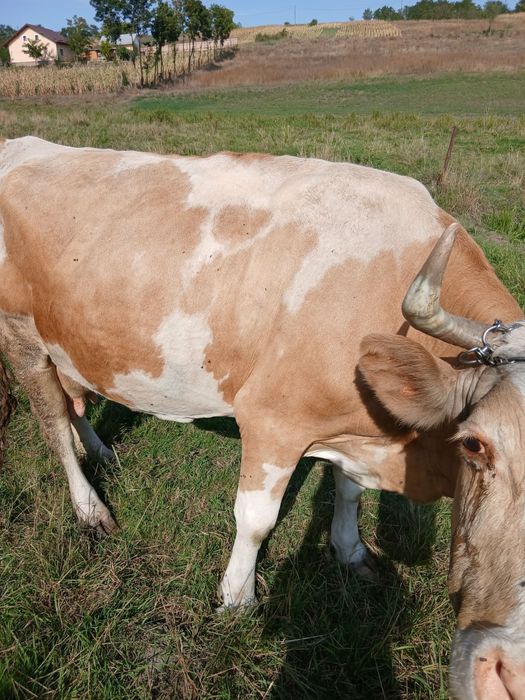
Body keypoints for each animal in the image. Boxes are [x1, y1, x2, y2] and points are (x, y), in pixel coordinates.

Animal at [0, 136, 524, 700]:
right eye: (474, 444)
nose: (508, 672)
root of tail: (23, 142)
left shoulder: (354, 422)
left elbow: (348, 492)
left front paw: (350, 551)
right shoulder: (272, 419)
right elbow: (255, 520)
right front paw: (237, 598)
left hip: (72, 338)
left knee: (74, 396)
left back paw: (98, 448)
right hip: (22, 333)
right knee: (52, 421)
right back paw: (89, 508)